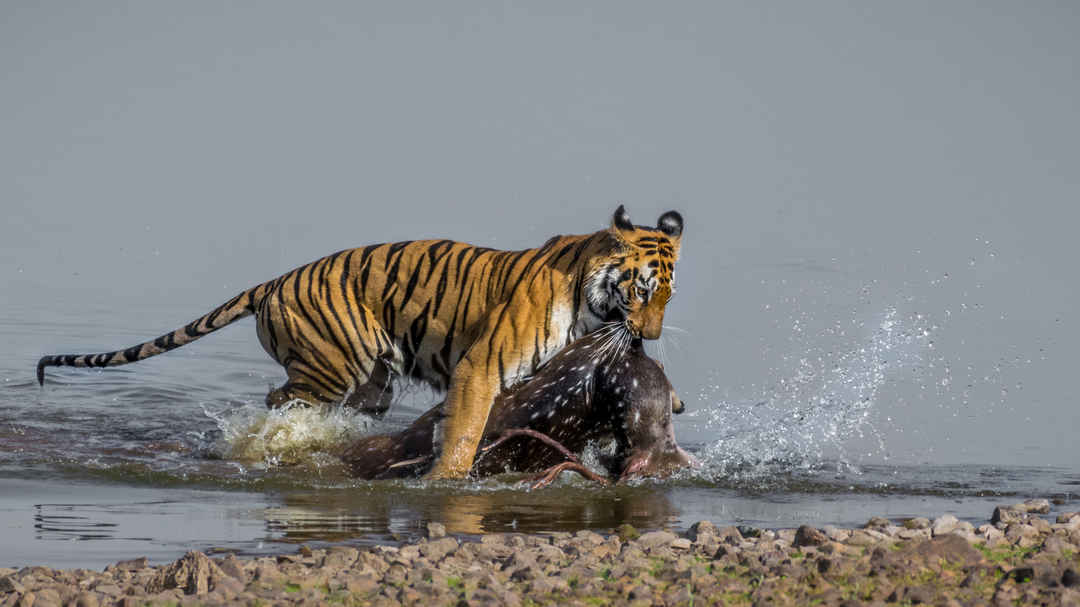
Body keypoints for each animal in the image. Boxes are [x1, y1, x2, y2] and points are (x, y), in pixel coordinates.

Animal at [37, 205, 683, 479]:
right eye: (642, 290)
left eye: (667, 298)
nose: (648, 336)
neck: (587, 298)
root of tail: (272, 282)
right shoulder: (480, 368)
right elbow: (465, 433)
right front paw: (447, 481)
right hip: (327, 372)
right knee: (276, 408)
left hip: (368, 385)